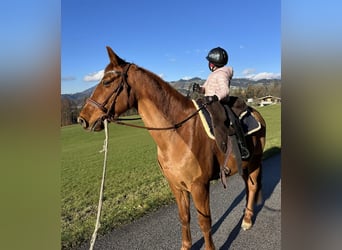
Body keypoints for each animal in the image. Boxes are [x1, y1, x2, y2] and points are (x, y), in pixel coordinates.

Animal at [79, 46, 266, 248]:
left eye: (106, 82)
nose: (82, 119)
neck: (177, 133)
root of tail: (256, 113)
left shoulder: (199, 186)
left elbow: (204, 222)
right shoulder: (176, 186)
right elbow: (184, 218)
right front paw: (186, 246)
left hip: (254, 163)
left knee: (253, 187)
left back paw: (247, 220)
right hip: (245, 165)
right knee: (248, 186)